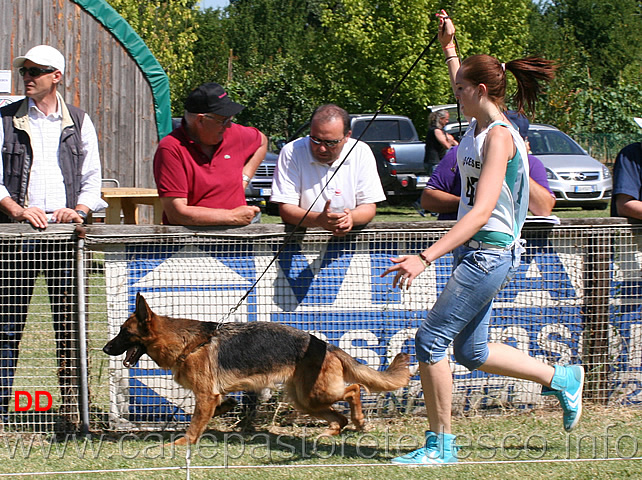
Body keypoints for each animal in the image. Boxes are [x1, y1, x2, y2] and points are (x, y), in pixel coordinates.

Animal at [102, 292, 408, 446]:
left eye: (124, 332)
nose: (105, 349)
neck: (187, 343)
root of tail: (326, 345)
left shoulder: (205, 396)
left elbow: (194, 425)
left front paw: (182, 444)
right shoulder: (211, 397)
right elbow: (221, 406)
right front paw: (228, 410)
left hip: (316, 394)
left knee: (354, 389)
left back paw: (359, 420)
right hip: (305, 399)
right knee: (339, 416)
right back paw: (332, 432)